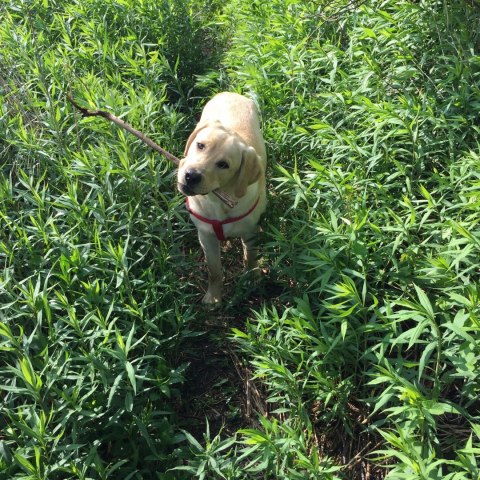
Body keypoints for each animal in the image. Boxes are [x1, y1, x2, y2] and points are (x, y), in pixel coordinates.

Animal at [177, 92, 266, 304]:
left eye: (223, 164)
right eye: (200, 145)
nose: (191, 175)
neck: (219, 201)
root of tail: (231, 93)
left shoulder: (249, 232)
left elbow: (250, 257)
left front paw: (252, 278)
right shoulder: (206, 236)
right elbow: (214, 270)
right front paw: (214, 297)